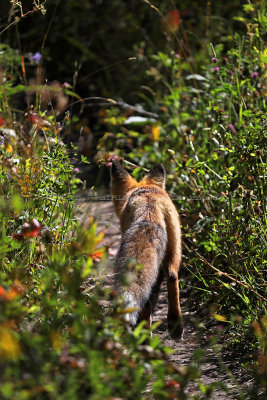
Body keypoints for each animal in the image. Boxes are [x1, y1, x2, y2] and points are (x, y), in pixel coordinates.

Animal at [111, 159, 184, 338]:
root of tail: (150, 206)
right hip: (175, 249)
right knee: (172, 276)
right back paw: (175, 324)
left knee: (146, 300)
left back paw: (143, 334)